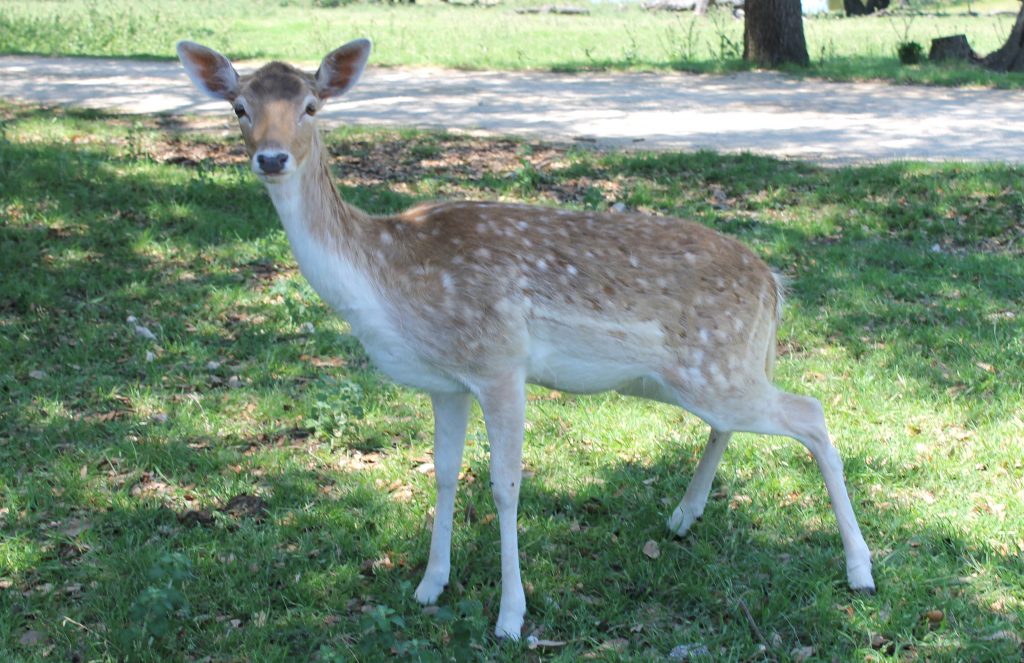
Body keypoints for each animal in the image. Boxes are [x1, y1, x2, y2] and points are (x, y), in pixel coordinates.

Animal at [174, 38, 872, 639]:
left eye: (312, 107)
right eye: (239, 107)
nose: (271, 157)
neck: (387, 279)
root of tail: (774, 282)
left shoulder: (499, 362)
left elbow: (505, 485)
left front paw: (510, 616)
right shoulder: (446, 381)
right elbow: (444, 472)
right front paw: (430, 585)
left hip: (716, 365)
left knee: (811, 413)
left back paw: (860, 569)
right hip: (692, 375)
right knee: (736, 423)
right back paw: (682, 516)